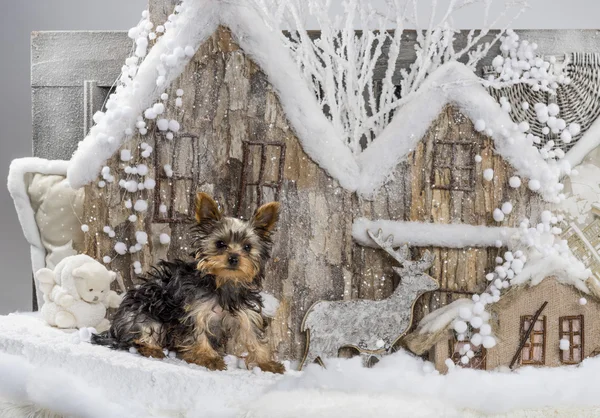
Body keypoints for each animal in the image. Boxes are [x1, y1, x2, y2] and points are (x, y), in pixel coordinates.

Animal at [91, 192, 284, 372]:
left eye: (247, 247)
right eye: (220, 244)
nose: (234, 258)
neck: (222, 282)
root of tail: (114, 328)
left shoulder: (245, 310)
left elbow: (252, 335)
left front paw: (266, 362)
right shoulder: (193, 310)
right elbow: (197, 332)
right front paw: (207, 357)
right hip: (143, 312)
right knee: (141, 331)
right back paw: (150, 348)